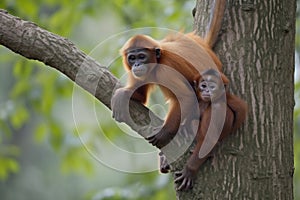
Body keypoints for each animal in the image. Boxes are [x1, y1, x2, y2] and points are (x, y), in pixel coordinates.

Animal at [111, 0, 226, 148]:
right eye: (132, 58)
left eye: (141, 56)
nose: (137, 65)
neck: (159, 60)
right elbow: (141, 97)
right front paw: (123, 93)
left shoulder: (166, 71)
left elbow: (186, 97)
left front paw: (165, 132)